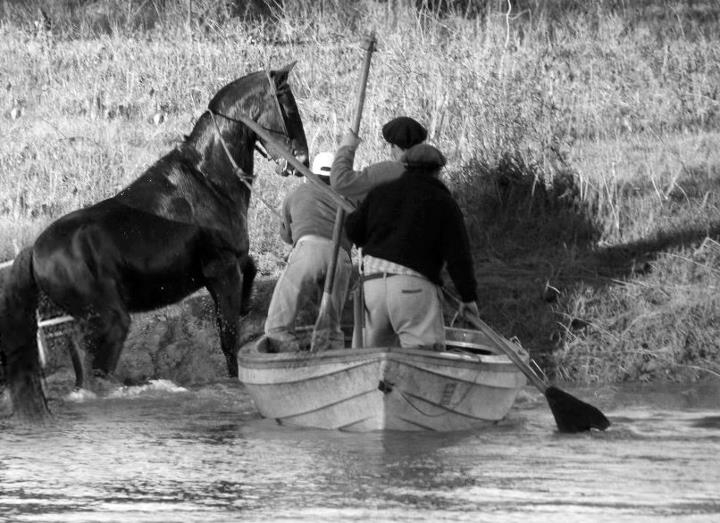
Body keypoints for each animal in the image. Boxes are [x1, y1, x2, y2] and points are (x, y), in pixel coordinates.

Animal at [0, 62, 310, 422]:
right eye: (288, 107)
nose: (302, 158)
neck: (209, 181)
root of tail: (35, 251)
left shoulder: (233, 262)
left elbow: (252, 269)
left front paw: (248, 303)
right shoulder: (221, 270)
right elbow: (228, 335)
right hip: (110, 321)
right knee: (94, 368)